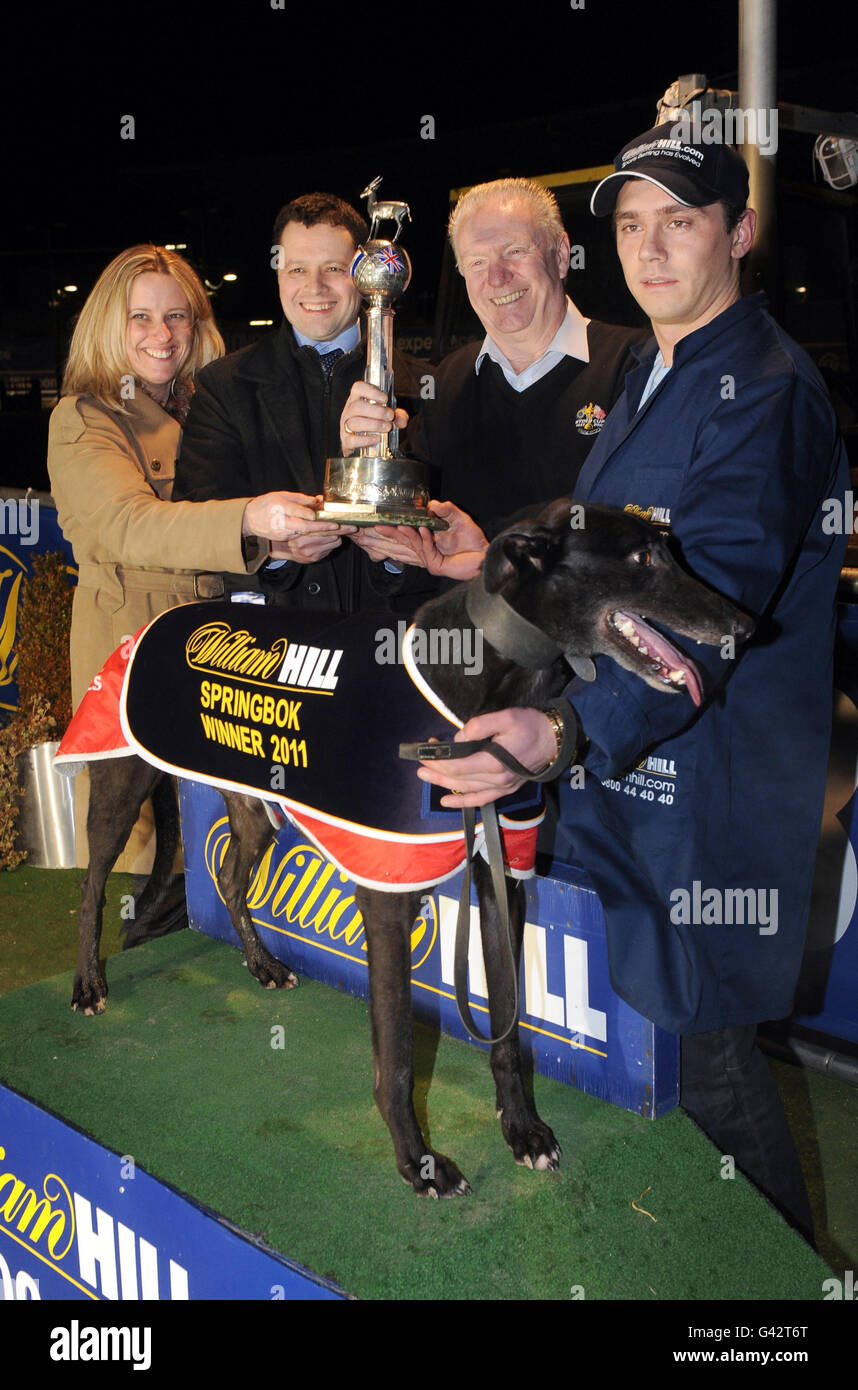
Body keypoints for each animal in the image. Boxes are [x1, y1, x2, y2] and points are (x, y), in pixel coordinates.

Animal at [71, 500, 750, 1195]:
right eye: (642, 558)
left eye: (671, 550)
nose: (745, 627)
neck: (477, 675)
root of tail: (166, 613)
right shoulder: (388, 895)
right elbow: (396, 1052)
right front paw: (418, 1161)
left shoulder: (501, 873)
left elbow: (507, 1030)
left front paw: (522, 1130)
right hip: (120, 783)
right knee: (93, 886)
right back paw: (89, 984)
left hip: (253, 806)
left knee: (232, 881)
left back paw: (261, 964)